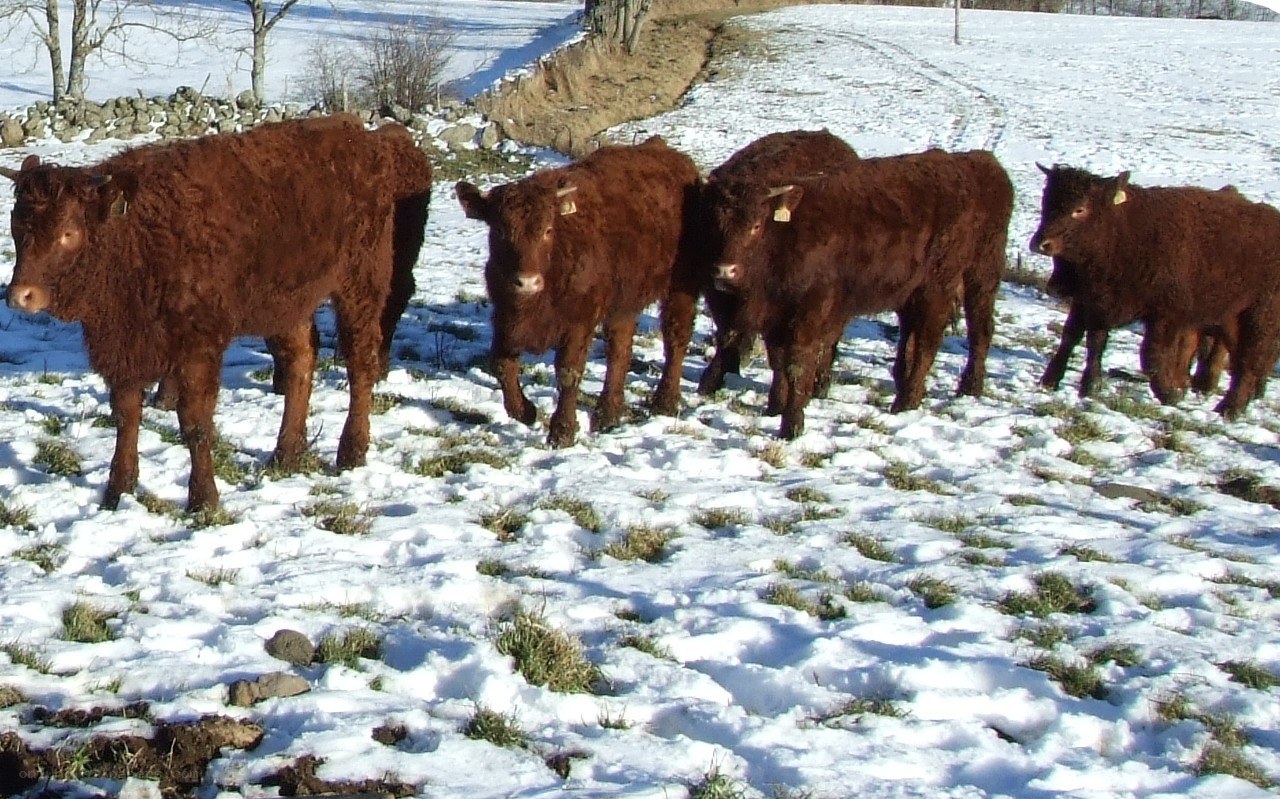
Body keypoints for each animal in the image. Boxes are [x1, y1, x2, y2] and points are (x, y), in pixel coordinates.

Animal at [1, 114, 434, 511]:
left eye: (68, 232)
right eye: (17, 229)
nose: (21, 295)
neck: (138, 235)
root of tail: (360, 135)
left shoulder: (198, 345)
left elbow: (195, 422)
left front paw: (203, 499)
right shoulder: (123, 346)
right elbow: (126, 416)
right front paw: (117, 491)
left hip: (362, 283)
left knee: (360, 362)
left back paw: (351, 451)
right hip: (287, 304)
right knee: (300, 362)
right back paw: (286, 452)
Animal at [455, 136, 701, 448]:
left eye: (548, 230)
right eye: (498, 230)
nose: (527, 282)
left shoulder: (578, 323)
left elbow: (568, 373)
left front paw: (562, 431)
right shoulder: (504, 316)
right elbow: (501, 364)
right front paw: (524, 410)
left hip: (681, 287)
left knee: (676, 337)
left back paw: (665, 402)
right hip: (623, 303)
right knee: (619, 350)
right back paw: (608, 414)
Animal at [695, 129, 859, 414]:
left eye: (756, 225)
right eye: (714, 222)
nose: (726, 271)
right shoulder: (719, 297)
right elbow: (728, 337)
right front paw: (713, 380)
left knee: (827, 341)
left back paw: (821, 384)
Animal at [703, 147, 1013, 438]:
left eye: (756, 226)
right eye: (717, 223)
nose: (725, 271)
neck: (785, 237)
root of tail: (980, 162)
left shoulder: (810, 313)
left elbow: (797, 366)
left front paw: (792, 425)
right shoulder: (775, 315)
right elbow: (778, 362)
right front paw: (775, 406)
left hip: (964, 281)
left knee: (955, 336)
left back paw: (925, 397)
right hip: (913, 293)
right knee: (913, 337)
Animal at [1029, 164, 1280, 419]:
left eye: (1080, 209)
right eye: (1046, 201)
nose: (1040, 243)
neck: (1124, 229)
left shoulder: (1164, 316)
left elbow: (1151, 356)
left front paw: (1170, 394)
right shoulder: (1093, 303)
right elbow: (1082, 340)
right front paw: (1066, 384)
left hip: (1260, 317)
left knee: (1251, 360)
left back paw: (1229, 408)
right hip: (1228, 318)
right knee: (1241, 360)